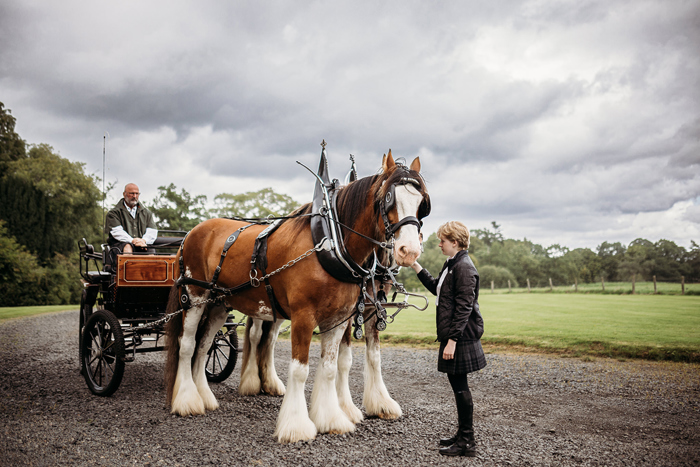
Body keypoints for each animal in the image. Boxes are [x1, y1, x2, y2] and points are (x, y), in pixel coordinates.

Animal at [165, 152, 426, 444]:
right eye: (389, 197)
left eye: (421, 203)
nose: (409, 251)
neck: (330, 244)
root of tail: (192, 232)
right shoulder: (304, 317)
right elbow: (301, 370)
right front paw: (297, 425)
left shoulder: (340, 318)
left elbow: (334, 365)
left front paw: (333, 417)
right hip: (196, 297)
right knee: (188, 344)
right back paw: (187, 400)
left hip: (220, 304)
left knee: (205, 345)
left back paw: (204, 396)